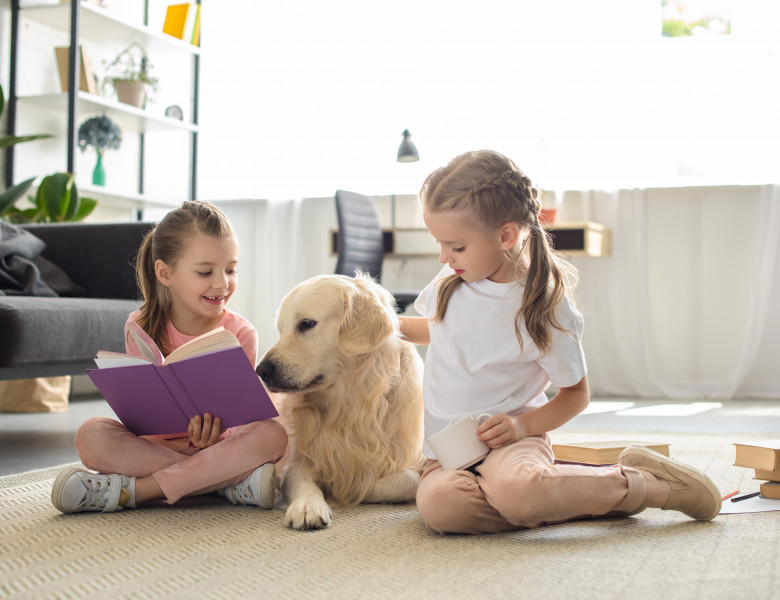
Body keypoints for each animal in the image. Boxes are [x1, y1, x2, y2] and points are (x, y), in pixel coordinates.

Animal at [256, 274, 426, 528]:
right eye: (280, 329)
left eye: (306, 323)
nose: (261, 371)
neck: (347, 402)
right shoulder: (298, 462)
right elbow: (304, 483)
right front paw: (308, 506)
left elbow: (407, 479)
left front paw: (351, 490)